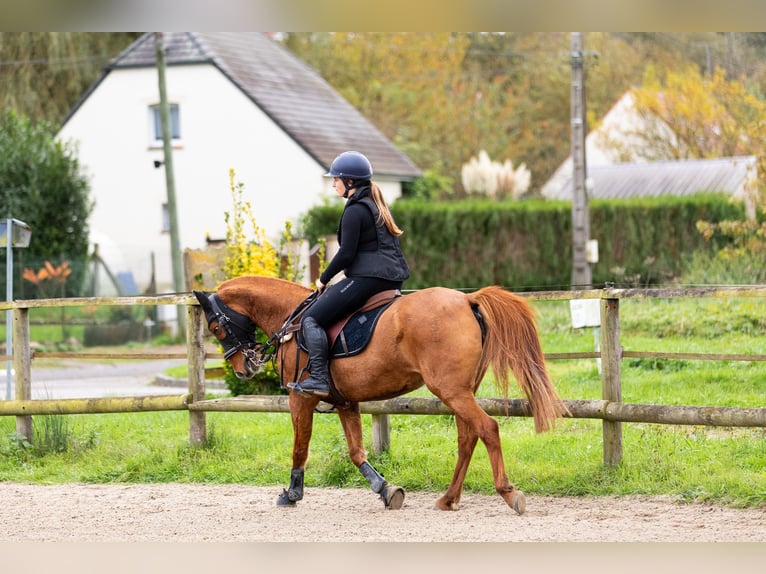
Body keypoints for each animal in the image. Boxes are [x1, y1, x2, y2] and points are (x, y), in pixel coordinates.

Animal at [194, 276, 568, 516]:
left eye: (216, 327)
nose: (243, 369)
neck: (293, 320)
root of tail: (465, 298)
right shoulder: (345, 402)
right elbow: (356, 451)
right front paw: (386, 490)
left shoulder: (300, 399)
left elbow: (300, 448)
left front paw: (292, 494)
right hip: (460, 392)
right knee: (468, 437)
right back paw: (449, 498)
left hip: (451, 391)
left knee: (487, 428)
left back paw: (508, 493)